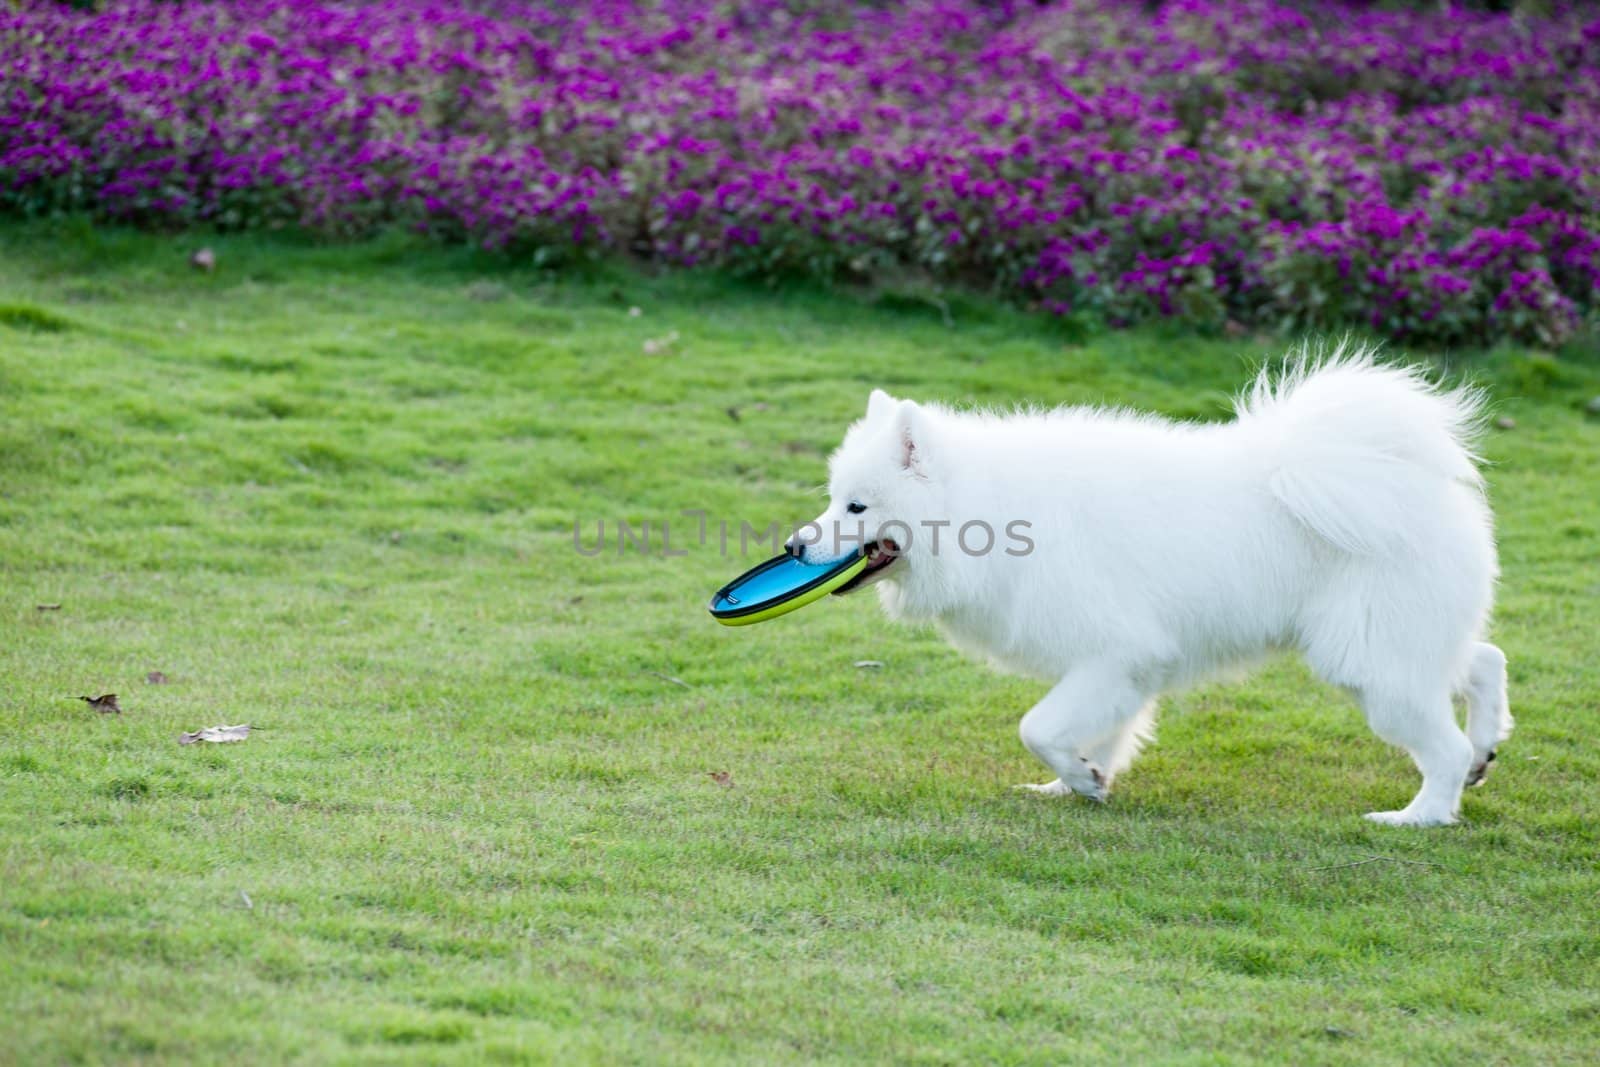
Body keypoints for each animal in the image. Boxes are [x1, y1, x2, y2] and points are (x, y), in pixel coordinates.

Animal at [800, 347, 1510, 831]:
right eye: (834, 500)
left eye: (857, 507)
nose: (795, 546)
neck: (994, 511)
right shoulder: (1120, 668)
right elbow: (1088, 733)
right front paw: (1077, 784)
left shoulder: (1114, 654)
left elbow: (1037, 727)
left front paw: (1081, 780)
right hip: (1395, 646)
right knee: (1484, 660)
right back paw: (1485, 751)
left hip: (1369, 662)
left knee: (1443, 742)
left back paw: (1420, 815)